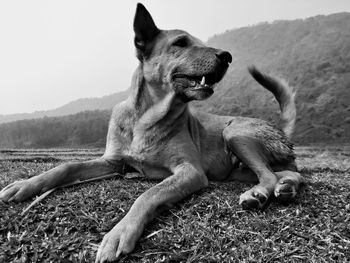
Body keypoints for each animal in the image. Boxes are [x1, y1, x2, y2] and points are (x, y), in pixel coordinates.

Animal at [0, 3, 304, 262]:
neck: (147, 117)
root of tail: (280, 130)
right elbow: (66, 167)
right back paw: (285, 187)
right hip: (237, 166)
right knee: (285, 173)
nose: (227, 57)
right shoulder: (113, 161)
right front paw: (25, 185)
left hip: (235, 133)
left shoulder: (190, 171)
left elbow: (149, 194)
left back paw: (260, 193)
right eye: (181, 43)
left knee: (269, 175)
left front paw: (120, 231)